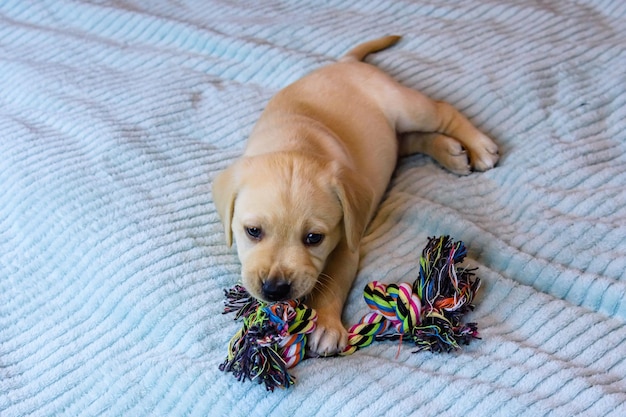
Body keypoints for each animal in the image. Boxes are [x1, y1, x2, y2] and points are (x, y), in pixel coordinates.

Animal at [213, 36, 498, 354]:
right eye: (252, 231)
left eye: (314, 238)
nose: (275, 289)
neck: (295, 144)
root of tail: (345, 63)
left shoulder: (346, 245)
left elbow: (331, 281)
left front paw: (325, 325)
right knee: (408, 141)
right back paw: (450, 152)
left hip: (406, 107)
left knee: (442, 110)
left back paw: (479, 146)